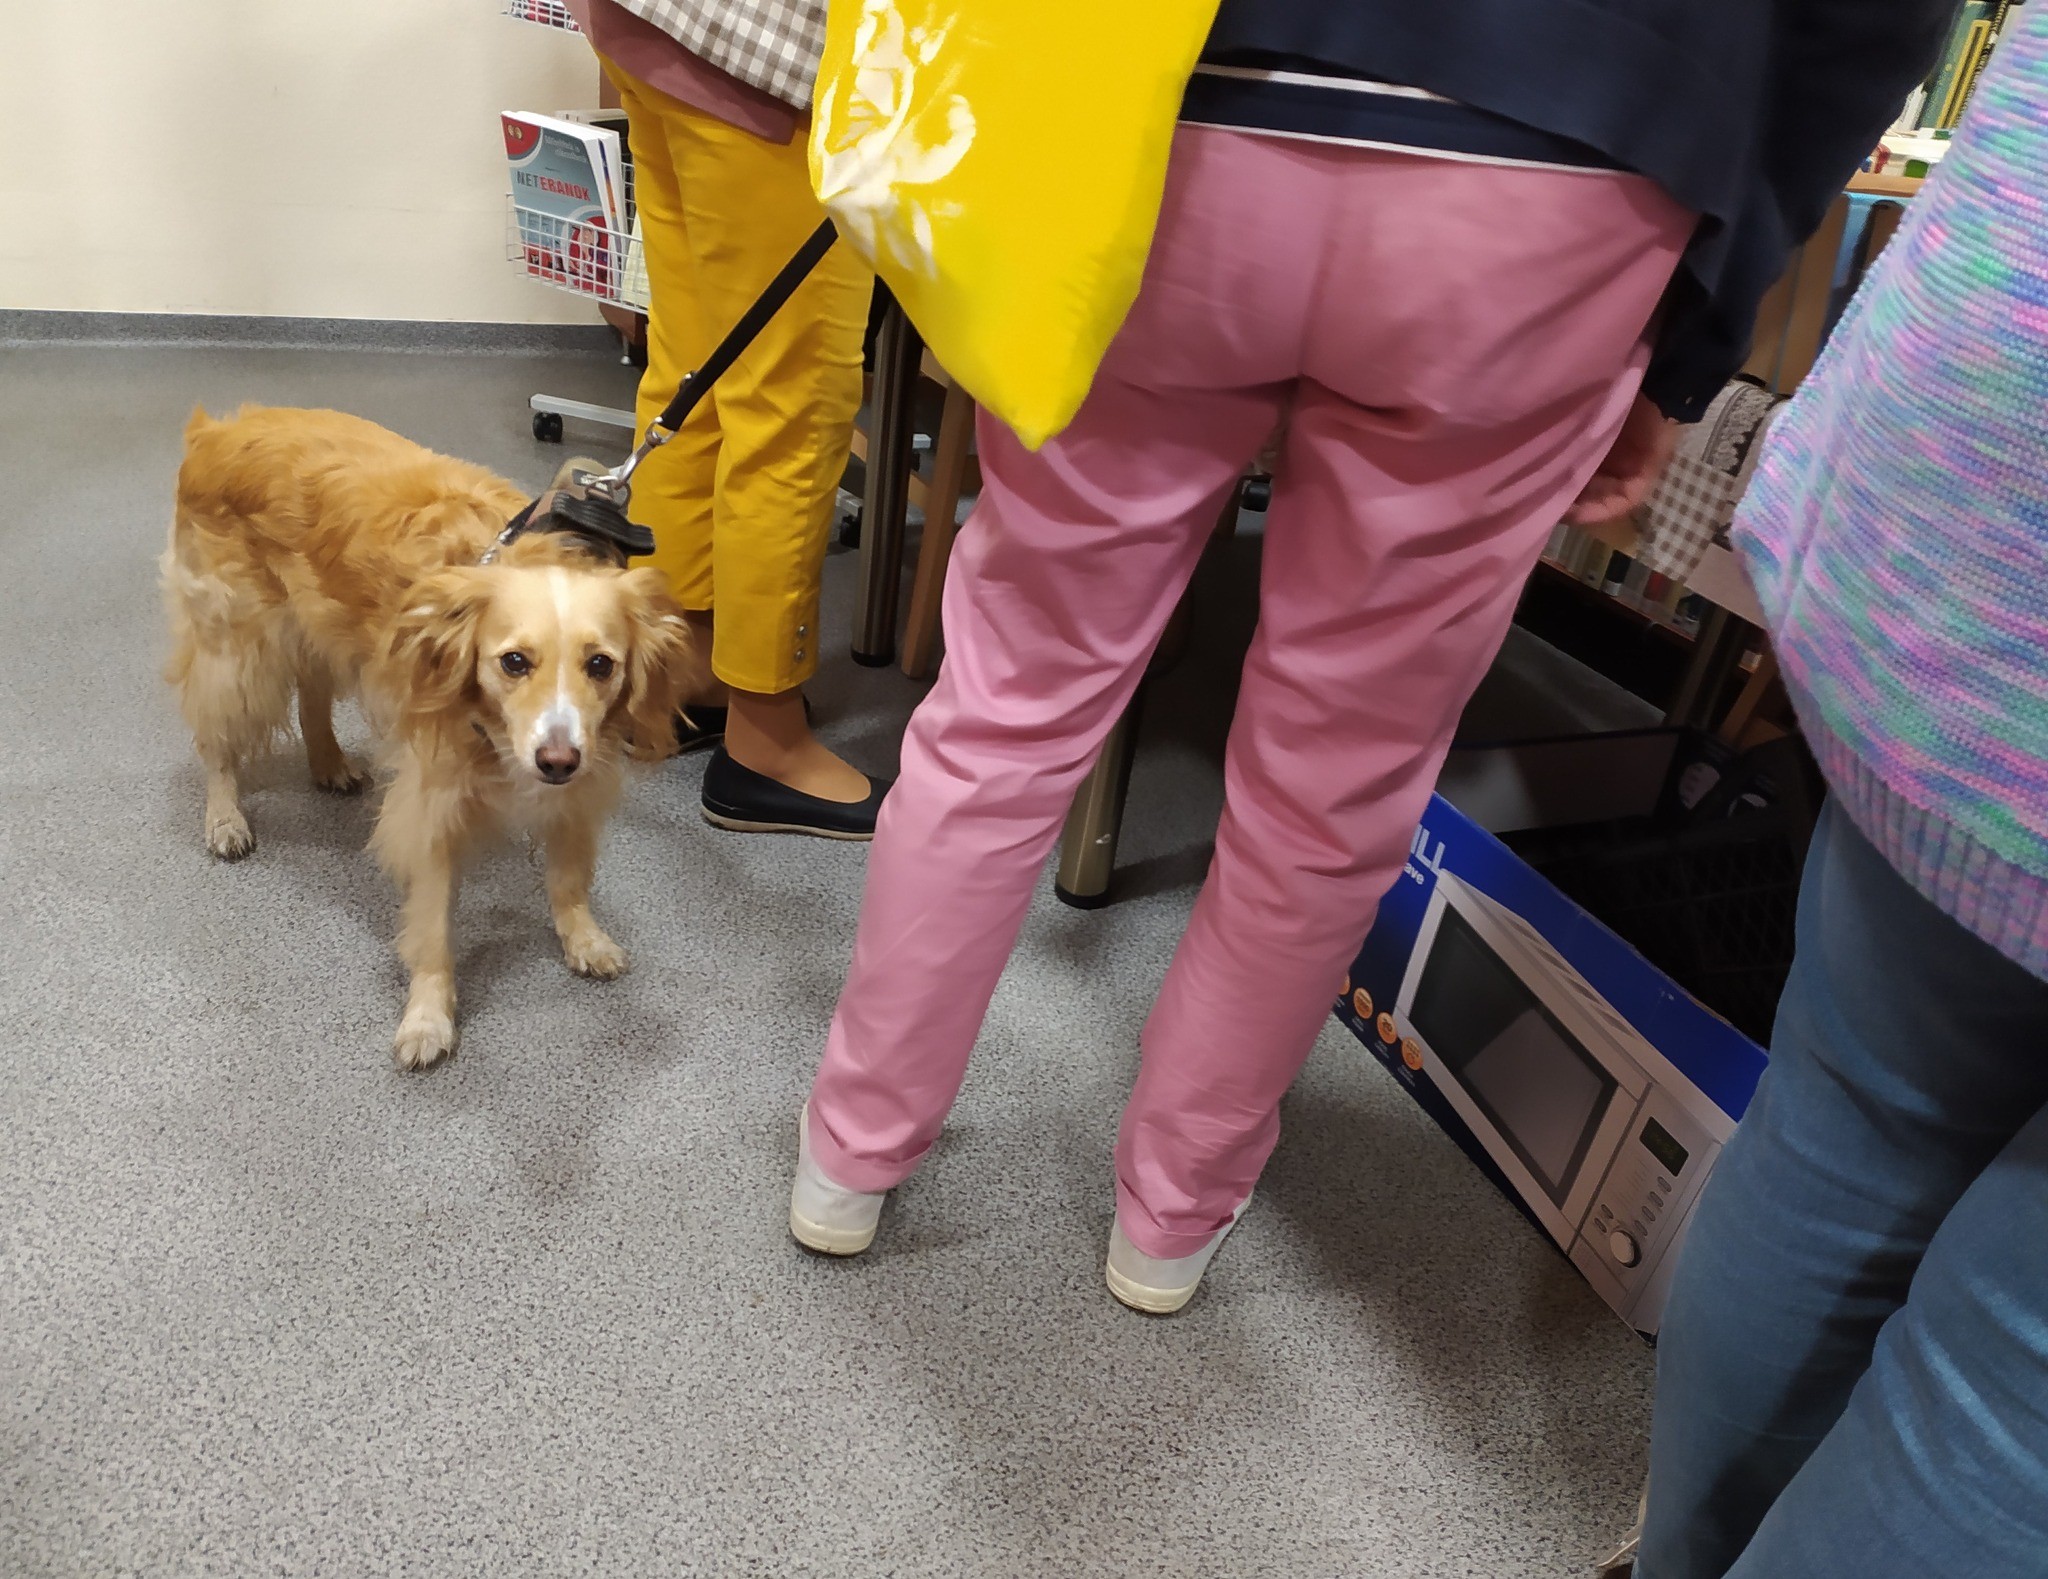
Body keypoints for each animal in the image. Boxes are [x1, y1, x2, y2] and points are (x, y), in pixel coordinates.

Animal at [162, 405, 697, 1069]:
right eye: (513, 661)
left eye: (601, 665)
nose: (555, 761)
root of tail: (220, 425)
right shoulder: (431, 806)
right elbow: (434, 929)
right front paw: (427, 1018)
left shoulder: (581, 779)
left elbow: (569, 879)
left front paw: (583, 937)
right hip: (237, 652)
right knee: (215, 740)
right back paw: (225, 817)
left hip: (318, 629)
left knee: (312, 695)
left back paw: (328, 762)